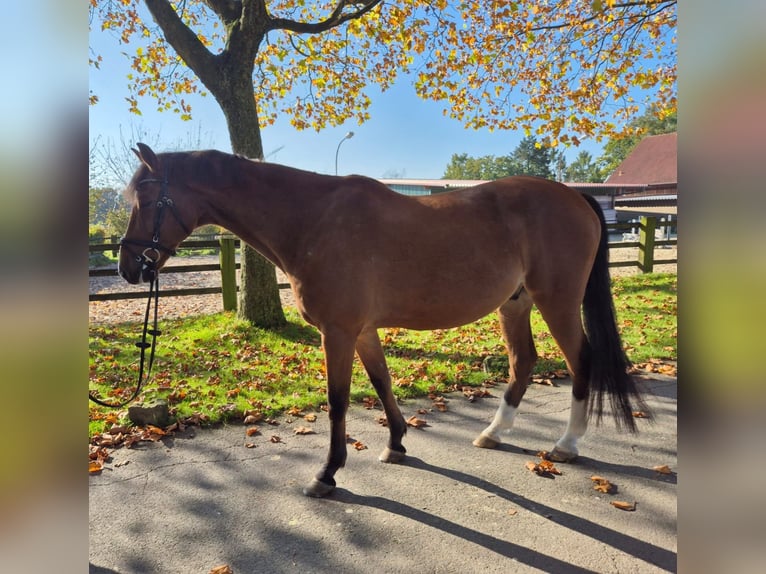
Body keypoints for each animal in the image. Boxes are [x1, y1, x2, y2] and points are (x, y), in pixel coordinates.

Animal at [118, 143, 648, 500]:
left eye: (144, 197)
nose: (128, 268)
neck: (312, 220)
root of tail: (578, 199)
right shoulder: (364, 330)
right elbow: (382, 381)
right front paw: (396, 444)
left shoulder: (338, 331)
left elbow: (338, 402)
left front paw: (327, 473)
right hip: (514, 303)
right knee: (524, 363)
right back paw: (493, 434)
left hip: (556, 302)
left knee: (581, 362)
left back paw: (566, 444)